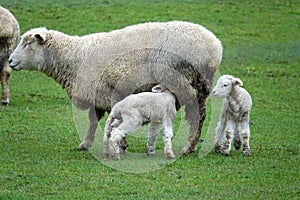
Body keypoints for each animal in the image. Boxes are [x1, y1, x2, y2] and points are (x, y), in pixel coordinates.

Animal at [8, 21, 223, 154]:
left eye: (28, 43)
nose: (9, 61)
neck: (74, 57)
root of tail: (215, 47)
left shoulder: (112, 91)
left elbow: (112, 119)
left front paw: (121, 144)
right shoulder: (97, 95)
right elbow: (94, 121)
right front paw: (86, 143)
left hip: (181, 80)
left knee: (194, 114)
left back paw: (187, 147)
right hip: (201, 85)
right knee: (201, 115)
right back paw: (192, 146)